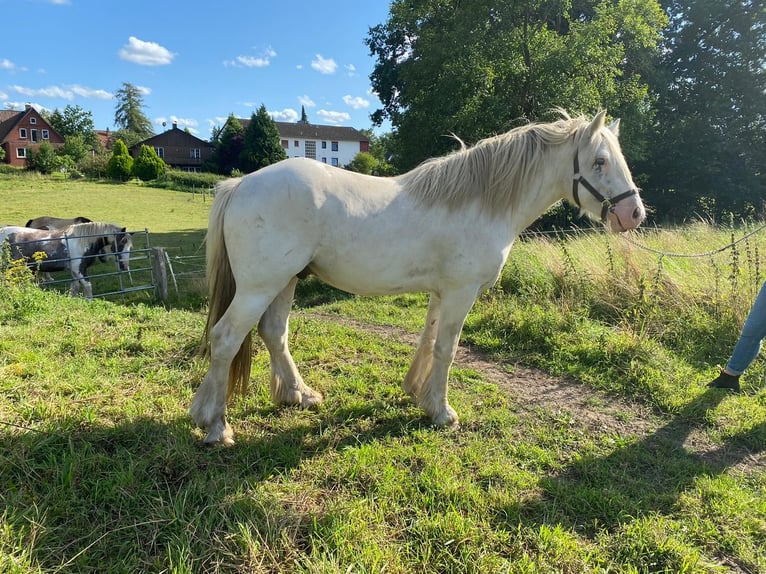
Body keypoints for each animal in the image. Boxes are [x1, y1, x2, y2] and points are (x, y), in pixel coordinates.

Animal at [0, 223, 134, 300]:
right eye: (122, 242)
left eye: (130, 246)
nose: (124, 265)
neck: (82, 241)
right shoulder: (79, 270)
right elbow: (87, 286)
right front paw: (89, 301)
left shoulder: (75, 272)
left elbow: (74, 288)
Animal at [192, 110, 648, 448]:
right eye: (600, 161)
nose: (634, 214)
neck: (481, 202)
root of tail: (240, 183)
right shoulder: (462, 292)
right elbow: (448, 348)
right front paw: (443, 412)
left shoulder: (442, 292)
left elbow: (429, 341)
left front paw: (418, 395)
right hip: (259, 287)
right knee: (226, 338)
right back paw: (217, 426)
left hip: (285, 281)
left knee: (274, 333)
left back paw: (298, 394)